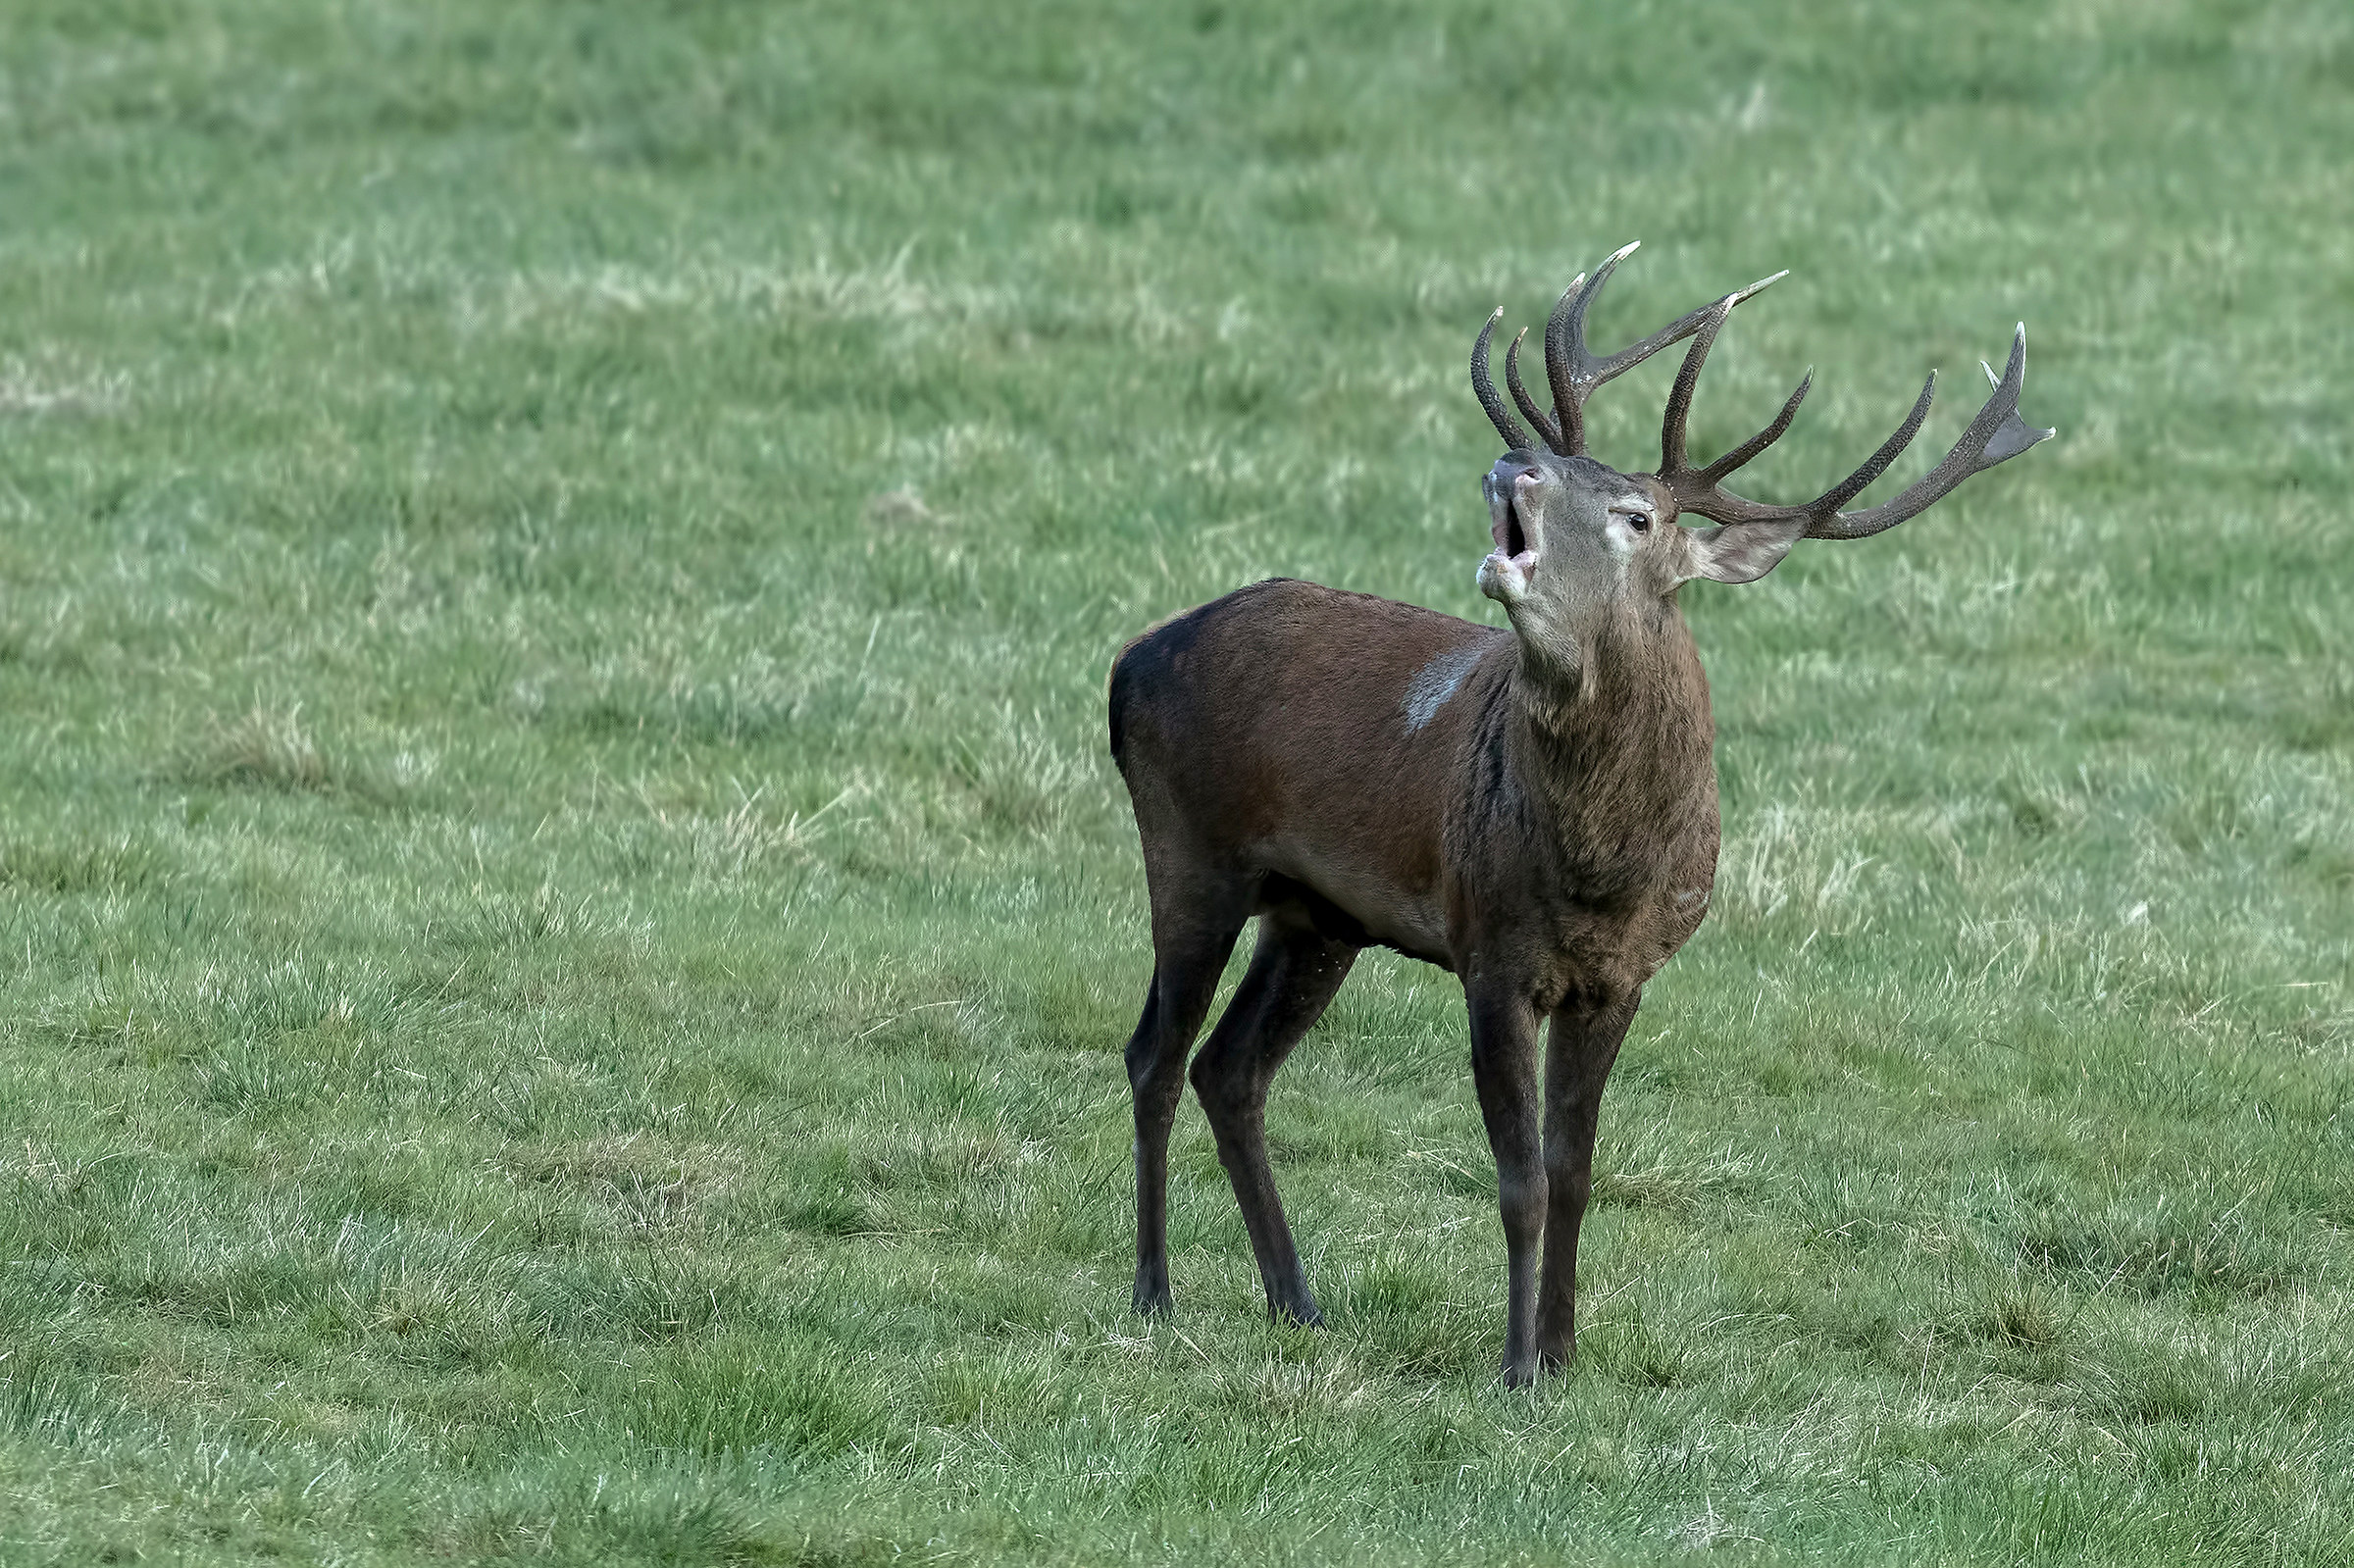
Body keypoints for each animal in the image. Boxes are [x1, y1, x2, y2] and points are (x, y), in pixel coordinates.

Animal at [1106, 242, 2052, 1386]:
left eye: (1635, 517)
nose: (1515, 463)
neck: (1603, 872)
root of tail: (1129, 662)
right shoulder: (1492, 952)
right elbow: (1520, 1177)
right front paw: (1515, 1368)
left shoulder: (1623, 977)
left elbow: (1576, 1169)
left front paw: (1561, 1354)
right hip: (1189, 847)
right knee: (1154, 1054)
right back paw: (1154, 1291)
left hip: (1317, 915)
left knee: (1229, 1068)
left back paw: (1299, 1301)